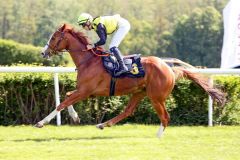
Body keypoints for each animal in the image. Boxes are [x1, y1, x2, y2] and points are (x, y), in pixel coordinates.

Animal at [35, 23, 225, 138]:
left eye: (53, 37)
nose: (43, 52)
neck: (88, 60)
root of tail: (170, 68)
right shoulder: (86, 91)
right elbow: (66, 97)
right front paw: (75, 117)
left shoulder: (85, 91)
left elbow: (62, 103)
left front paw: (41, 122)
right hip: (139, 92)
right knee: (128, 111)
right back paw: (103, 124)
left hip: (156, 97)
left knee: (165, 117)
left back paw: (158, 137)